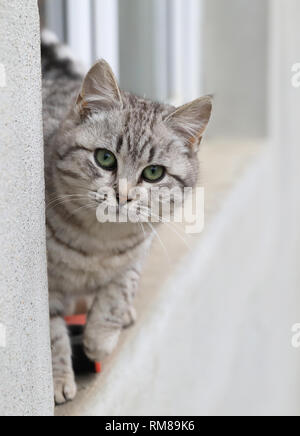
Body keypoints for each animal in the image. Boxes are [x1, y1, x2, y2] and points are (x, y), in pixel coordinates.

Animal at [41, 30, 212, 406]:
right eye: (105, 158)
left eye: (153, 173)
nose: (123, 195)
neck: (97, 242)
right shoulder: (43, 281)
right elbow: (51, 333)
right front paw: (58, 378)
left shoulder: (139, 249)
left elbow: (119, 289)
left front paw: (100, 337)